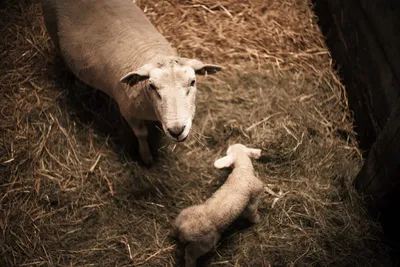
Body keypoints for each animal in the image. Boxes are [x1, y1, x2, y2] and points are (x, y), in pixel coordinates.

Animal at [39, 0, 223, 165]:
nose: (177, 130)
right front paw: (146, 157)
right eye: (152, 86)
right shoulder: (127, 112)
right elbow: (141, 133)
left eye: (192, 82)